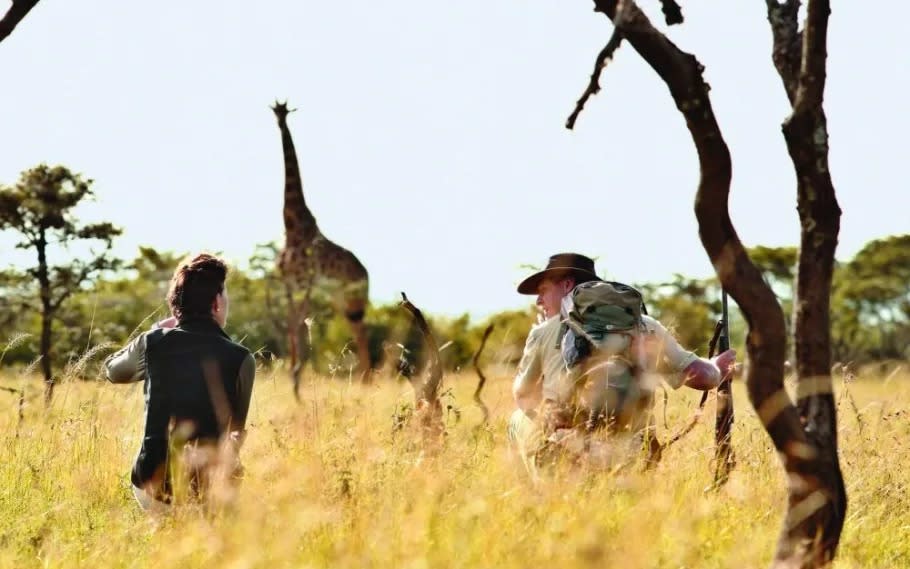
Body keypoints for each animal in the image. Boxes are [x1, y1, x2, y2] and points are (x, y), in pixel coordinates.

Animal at [270, 101, 374, 394]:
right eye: (275, 110)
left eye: (285, 111)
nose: (280, 120)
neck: (293, 227)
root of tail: (366, 273)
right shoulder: (288, 284)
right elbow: (292, 325)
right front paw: (292, 374)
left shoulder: (306, 283)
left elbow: (298, 323)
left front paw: (296, 376)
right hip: (338, 298)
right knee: (358, 330)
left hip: (353, 298)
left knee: (362, 331)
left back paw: (366, 381)